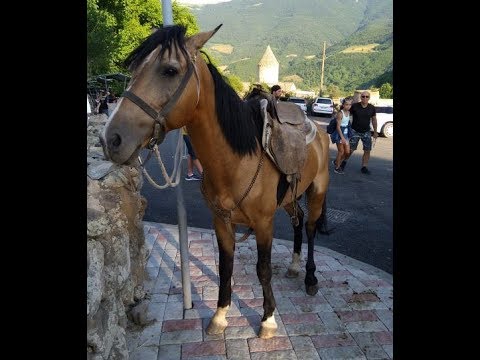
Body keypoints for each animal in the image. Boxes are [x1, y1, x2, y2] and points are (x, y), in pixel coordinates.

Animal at [101, 23, 330, 338]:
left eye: (170, 70)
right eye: (134, 69)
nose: (111, 139)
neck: (239, 159)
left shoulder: (264, 223)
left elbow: (263, 269)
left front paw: (268, 320)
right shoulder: (221, 222)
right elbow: (225, 266)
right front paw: (221, 315)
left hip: (317, 190)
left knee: (309, 228)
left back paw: (309, 277)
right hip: (290, 197)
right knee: (299, 221)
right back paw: (295, 266)